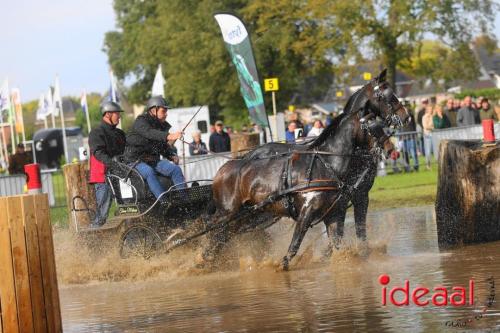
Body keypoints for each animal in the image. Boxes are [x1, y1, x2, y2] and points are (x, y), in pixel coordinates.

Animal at [202, 68, 406, 268]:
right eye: (388, 96)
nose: (406, 116)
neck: (327, 162)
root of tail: (224, 168)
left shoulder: (338, 209)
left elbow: (340, 241)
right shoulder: (322, 208)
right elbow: (297, 244)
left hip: (249, 214)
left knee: (226, 236)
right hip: (228, 213)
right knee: (212, 232)